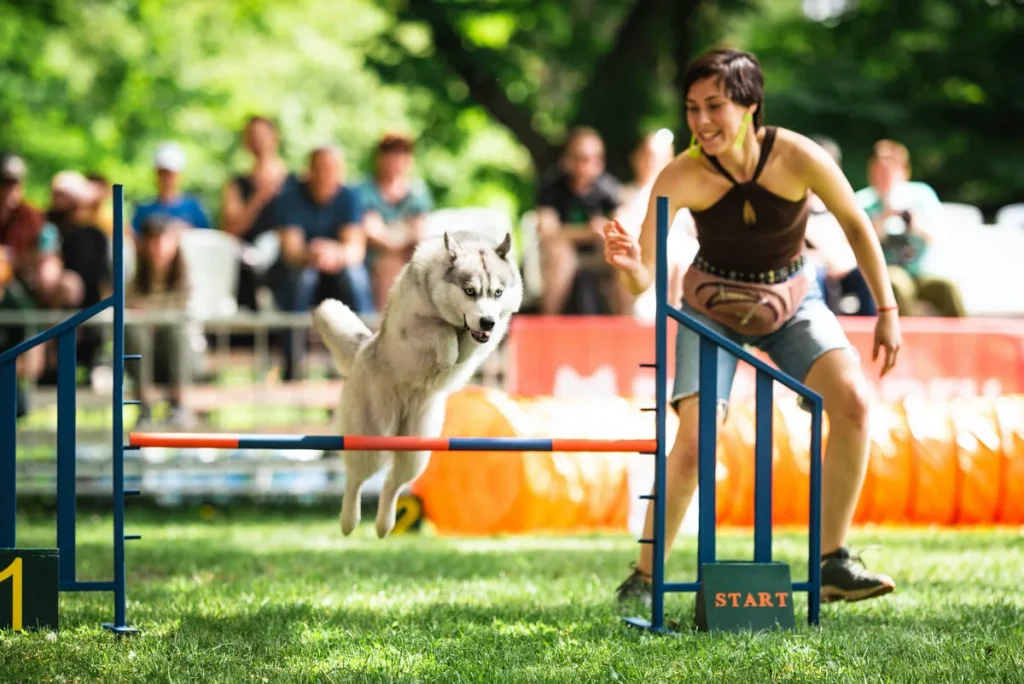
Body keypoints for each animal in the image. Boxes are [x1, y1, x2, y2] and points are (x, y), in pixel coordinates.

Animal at [309, 229, 520, 540]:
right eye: (469, 291)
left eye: (497, 293)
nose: (487, 321)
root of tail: (365, 347)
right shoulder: (411, 327)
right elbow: (441, 331)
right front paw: (448, 353)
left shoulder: (487, 336)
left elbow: (468, 345)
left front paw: (460, 351)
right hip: (373, 438)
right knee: (355, 478)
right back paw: (349, 521)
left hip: (417, 448)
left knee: (392, 483)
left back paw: (385, 525)